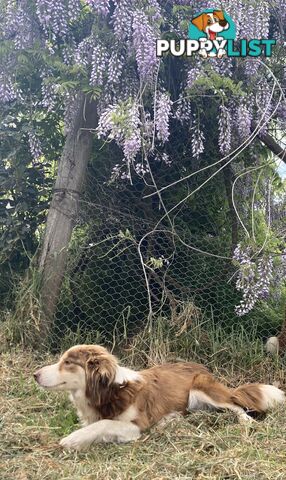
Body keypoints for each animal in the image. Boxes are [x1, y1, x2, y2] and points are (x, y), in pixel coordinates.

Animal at [34, 344, 284, 450]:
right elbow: (99, 425)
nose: (34, 374)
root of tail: (202, 368)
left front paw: (73, 440)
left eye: (68, 362)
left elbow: (104, 423)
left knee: (237, 406)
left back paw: (245, 422)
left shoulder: (137, 425)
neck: (110, 392)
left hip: (201, 388)